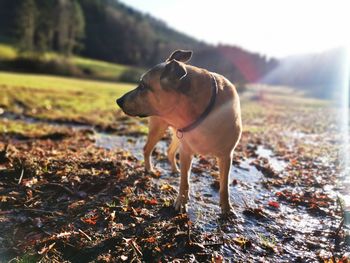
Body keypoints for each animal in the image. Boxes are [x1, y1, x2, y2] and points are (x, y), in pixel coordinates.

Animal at [116, 50, 242, 217]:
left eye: (143, 86)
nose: (118, 101)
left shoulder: (226, 155)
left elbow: (224, 185)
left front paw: (227, 208)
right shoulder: (186, 151)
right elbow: (185, 181)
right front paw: (181, 202)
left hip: (178, 136)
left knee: (169, 151)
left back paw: (174, 169)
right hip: (160, 129)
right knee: (147, 149)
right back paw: (149, 169)